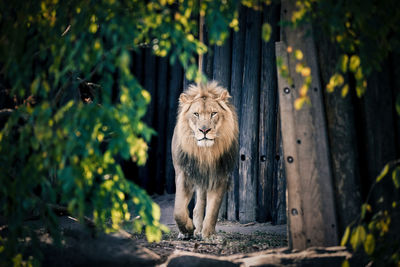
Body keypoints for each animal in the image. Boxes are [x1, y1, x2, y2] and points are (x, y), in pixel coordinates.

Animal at [171, 81, 238, 241]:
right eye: (196, 114)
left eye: (214, 113)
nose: (204, 130)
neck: (205, 152)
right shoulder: (184, 174)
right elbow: (179, 210)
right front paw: (187, 229)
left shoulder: (220, 176)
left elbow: (213, 210)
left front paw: (208, 235)